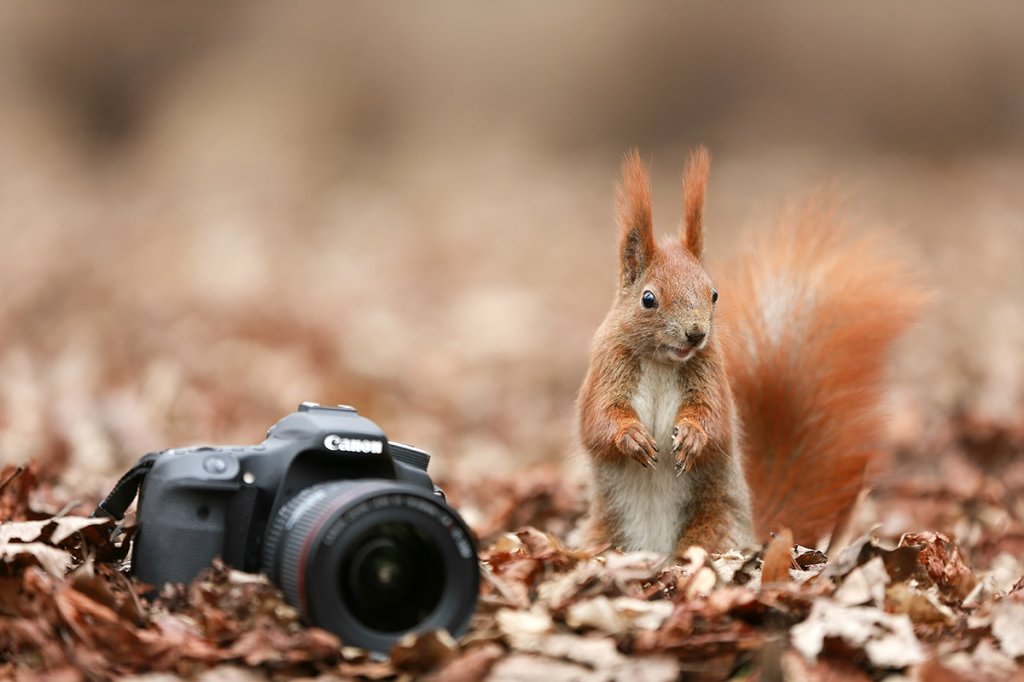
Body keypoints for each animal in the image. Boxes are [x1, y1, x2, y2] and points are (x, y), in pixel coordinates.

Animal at [581, 147, 925, 552]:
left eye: (713, 293)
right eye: (648, 299)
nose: (696, 334)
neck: (661, 362)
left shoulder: (711, 373)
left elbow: (716, 420)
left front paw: (694, 437)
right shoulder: (608, 366)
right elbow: (598, 420)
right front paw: (632, 437)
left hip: (715, 525)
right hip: (606, 533)